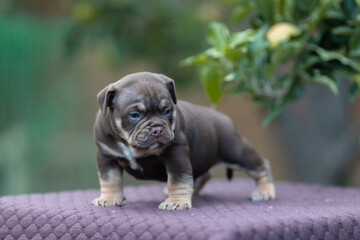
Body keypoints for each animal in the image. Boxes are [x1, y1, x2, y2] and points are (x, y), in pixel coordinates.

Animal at [93, 71, 276, 210]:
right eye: (134, 115)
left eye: (167, 110)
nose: (157, 128)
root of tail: (225, 118)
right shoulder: (106, 156)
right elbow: (109, 179)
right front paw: (109, 198)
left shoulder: (175, 154)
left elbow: (177, 179)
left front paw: (176, 202)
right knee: (202, 175)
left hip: (236, 151)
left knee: (260, 167)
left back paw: (264, 191)